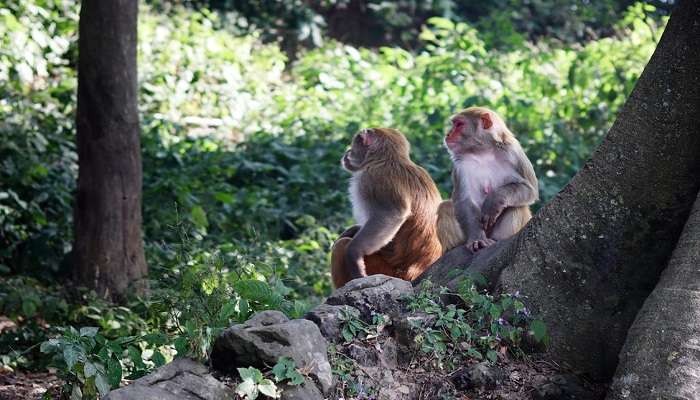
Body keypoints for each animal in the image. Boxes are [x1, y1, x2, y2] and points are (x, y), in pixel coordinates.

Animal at [330, 128, 442, 288]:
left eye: (354, 143)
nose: (348, 152)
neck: (387, 159)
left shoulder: (372, 178)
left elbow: (392, 215)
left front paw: (354, 253)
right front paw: (353, 229)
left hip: (384, 271)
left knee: (341, 246)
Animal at [438, 107, 540, 253]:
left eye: (459, 124)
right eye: (454, 124)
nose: (448, 134)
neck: (483, 152)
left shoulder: (514, 153)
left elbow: (530, 190)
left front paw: (494, 200)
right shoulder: (460, 165)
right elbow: (465, 200)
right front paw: (477, 239)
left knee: (517, 206)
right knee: (445, 206)